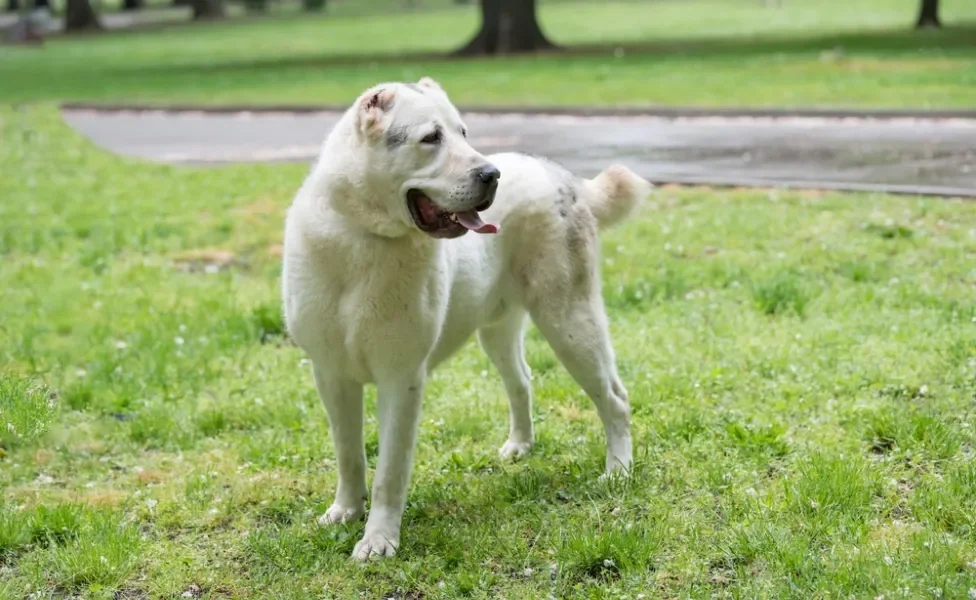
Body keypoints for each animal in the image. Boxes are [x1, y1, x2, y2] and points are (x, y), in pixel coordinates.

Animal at [280, 78, 648, 556]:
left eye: (464, 133)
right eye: (431, 138)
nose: (491, 174)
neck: (364, 236)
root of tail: (561, 175)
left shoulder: (402, 379)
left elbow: (389, 471)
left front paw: (379, 539)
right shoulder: (330, 374)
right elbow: (348, 453)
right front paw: (345, 511)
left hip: (570, 323)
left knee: (615, 399)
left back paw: (618, 470)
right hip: (498, 331)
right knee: (522, 381)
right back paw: (520, 446)